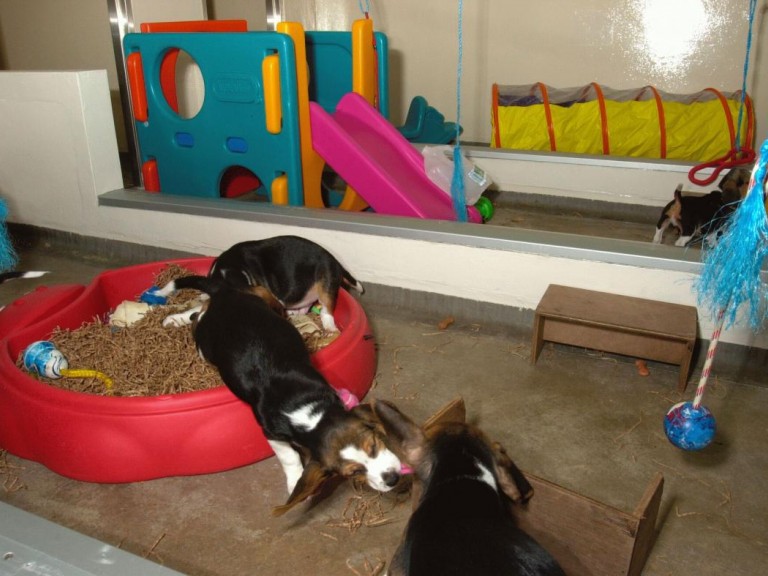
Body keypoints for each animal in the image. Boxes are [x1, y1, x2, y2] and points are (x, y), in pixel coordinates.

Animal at [157, 276, 402, 516]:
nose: (392, 479)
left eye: (373, 445)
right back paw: (180, 318)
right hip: (205, 348)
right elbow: (289, 456)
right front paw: (295, 481)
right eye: (353, 472)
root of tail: (225, 295)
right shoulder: (270, 432)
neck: (307, 411)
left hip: (262, 294)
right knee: (198, 316)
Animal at [165, 235, 364, 332]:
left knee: (326, 311)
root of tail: (335, 261)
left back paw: (329, 327)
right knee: (305, 307)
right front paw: (175, 319)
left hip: (326, 284)